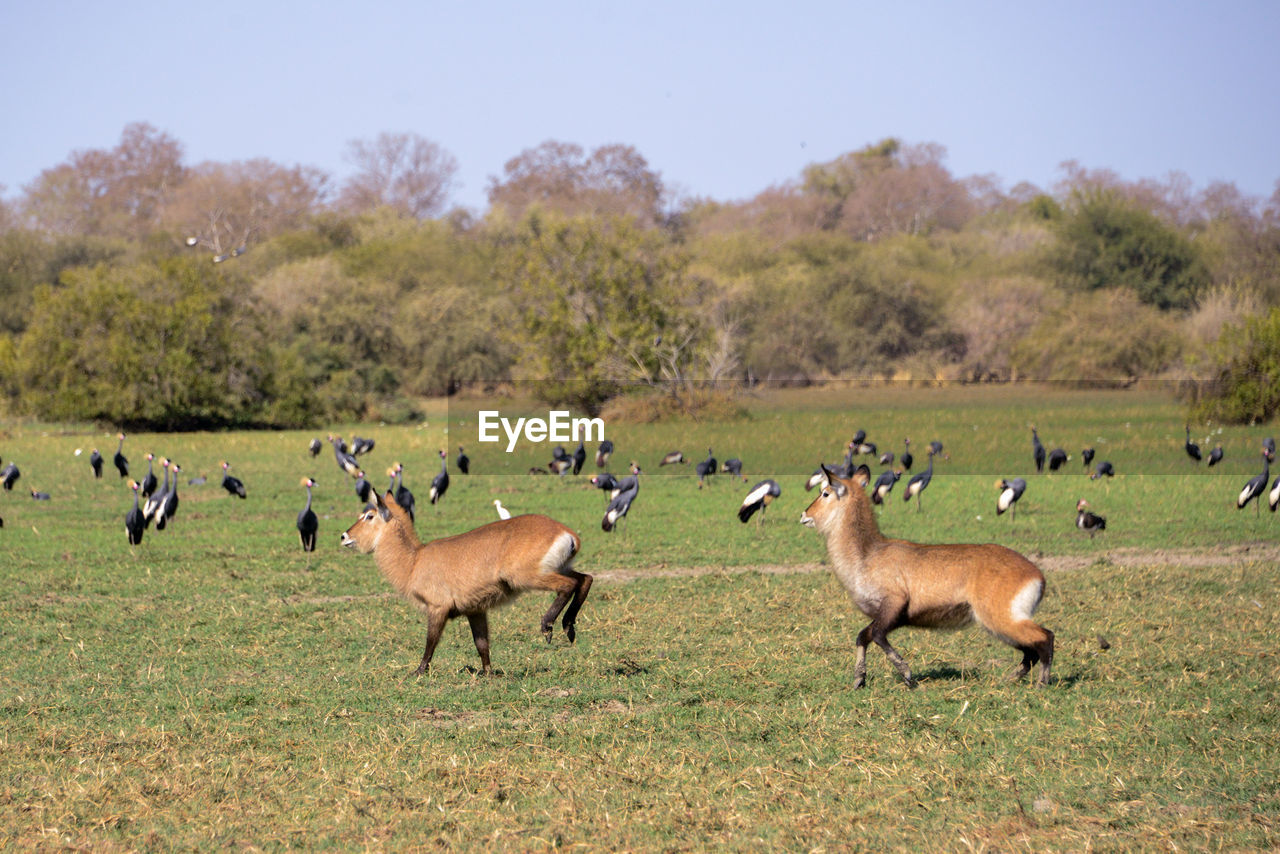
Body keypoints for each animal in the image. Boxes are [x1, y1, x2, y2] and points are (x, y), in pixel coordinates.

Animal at [337, 491, 591, 676]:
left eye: (369, 516)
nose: (343, 536)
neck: (414, 561)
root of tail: (568, 534)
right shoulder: (475, 610)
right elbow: (482, 644)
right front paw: (487, 673)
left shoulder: (437, 608)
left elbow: (430, 642)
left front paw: (418, 672)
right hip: (558, 568)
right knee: (585, 579)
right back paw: (568, 627)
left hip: (526, 577)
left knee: (568, 585)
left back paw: (548, 626)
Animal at [803, 463, 1054, 691]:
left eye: (825, 493)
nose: (804, 514)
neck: (867, 554)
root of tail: (1038, 575)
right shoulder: (886, 614)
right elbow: (863, 636)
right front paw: (859, 679)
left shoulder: (895, 604)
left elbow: (877, 635)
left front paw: (907, 675)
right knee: (1031, 651)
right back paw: (1010, 679)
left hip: (1001, 620)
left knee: (1045, 638)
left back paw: (1042, 684)